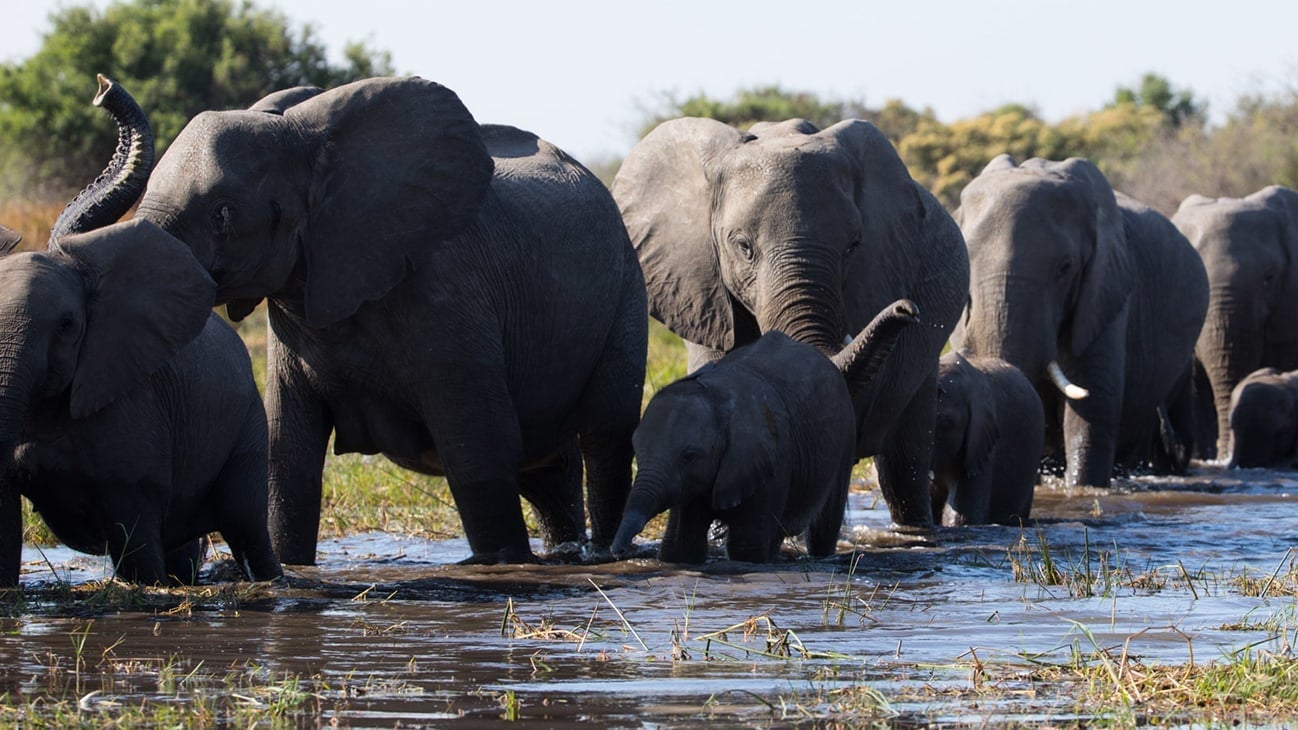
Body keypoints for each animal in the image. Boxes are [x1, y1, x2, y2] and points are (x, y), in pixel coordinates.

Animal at [0, 75, 280, 586]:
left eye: (68, 325)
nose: (102, 87)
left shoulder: (133, 406)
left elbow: (133, 525)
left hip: (247, 421)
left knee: (246, 524)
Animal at [136, 76, 647, 565]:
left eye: (222, 214)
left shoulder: (448, 290)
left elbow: (478, 448)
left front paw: (502, 565)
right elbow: (288, 457)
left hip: (625, 289)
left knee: (606, 438)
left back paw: (606, 554)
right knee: (546, 471)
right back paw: (566, 553)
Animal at [611, 300, 918, 564]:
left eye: (689, 457)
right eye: (636, 452)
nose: (619, 551)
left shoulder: (771, 462)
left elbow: (747, 547)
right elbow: (680, 545)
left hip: (842, 441)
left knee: (822, 526)